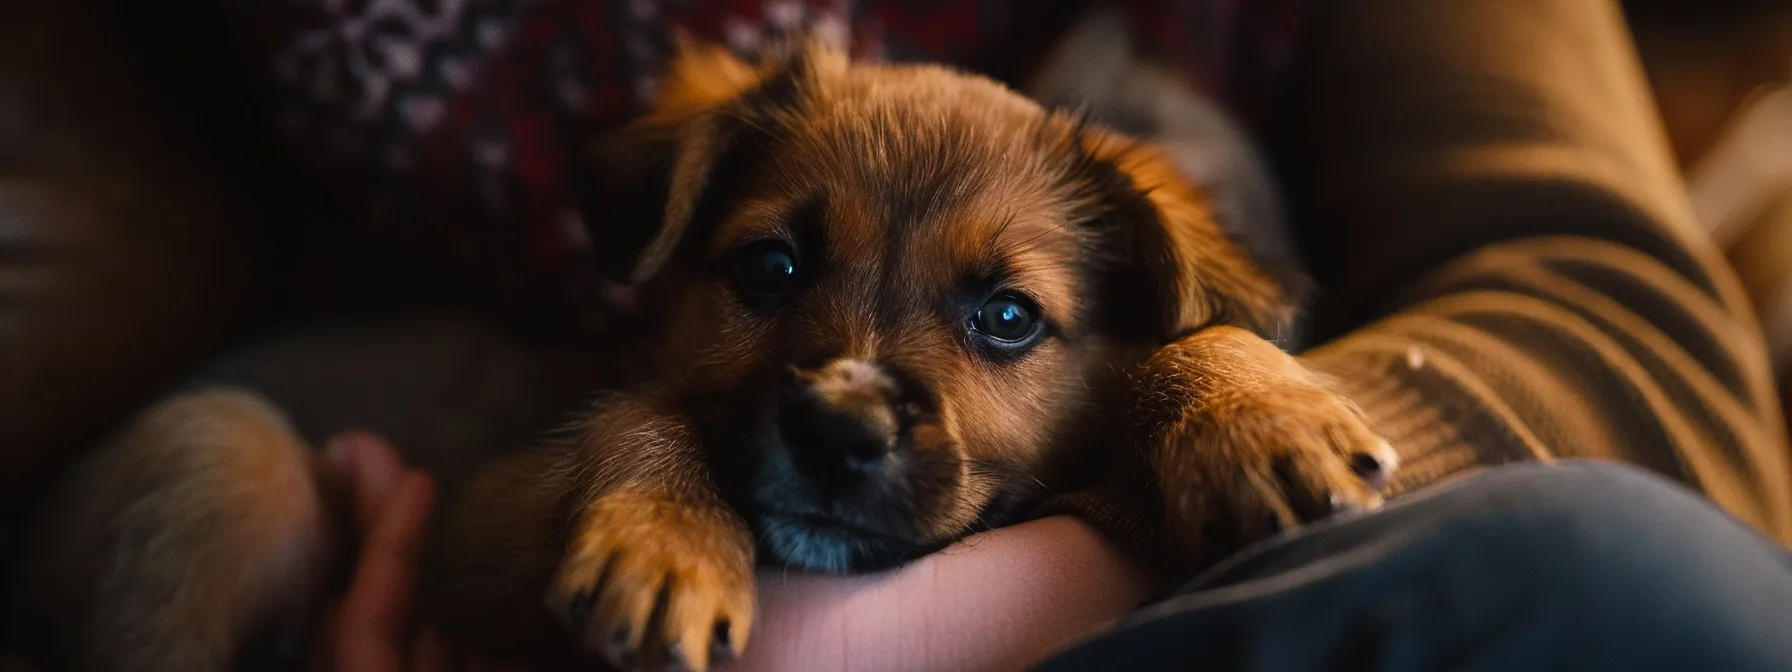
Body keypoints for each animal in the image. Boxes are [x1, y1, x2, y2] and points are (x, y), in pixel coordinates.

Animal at [7, 39, 1390, 672]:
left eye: (1008, 318)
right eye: (767, 269)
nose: (836, 433)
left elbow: (1188, 340)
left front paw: (1255, 417)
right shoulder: (478, 522)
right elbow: (648, 414)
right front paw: (664, 541)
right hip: (219, 448)